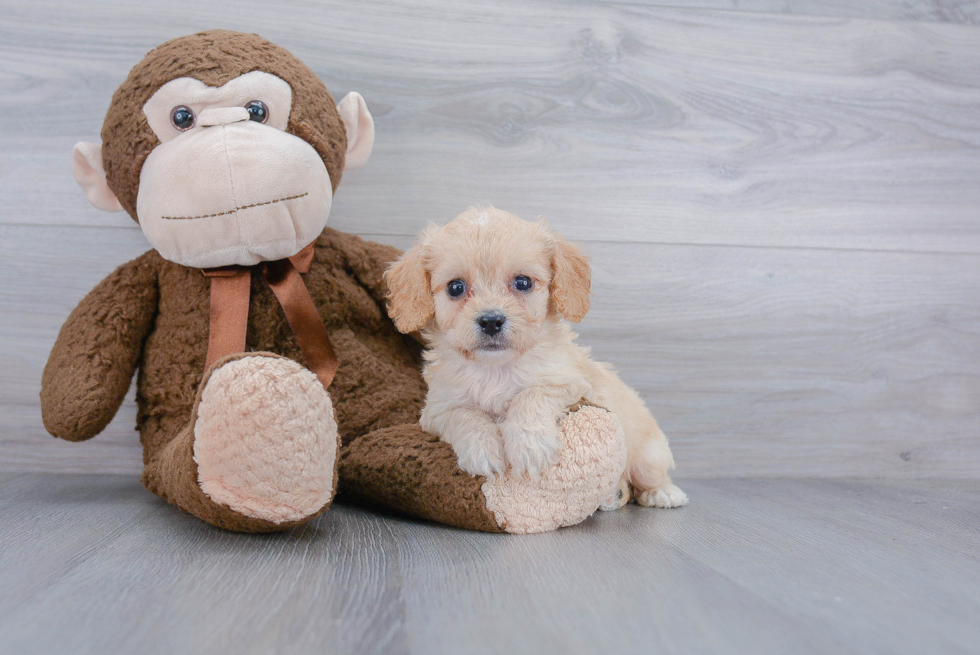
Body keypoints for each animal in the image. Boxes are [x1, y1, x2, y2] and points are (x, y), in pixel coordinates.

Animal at [384, 208, 688, 510]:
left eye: (523, 282)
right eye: (455, 287)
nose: (491, 321)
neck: (496, 369)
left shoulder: (568, 382)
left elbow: (530, 395)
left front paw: (529, 445)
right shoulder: (437, 409)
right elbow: (465, 415)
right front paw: (482, 449)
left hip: (647, 454)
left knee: (650, 475)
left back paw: (662, 493)